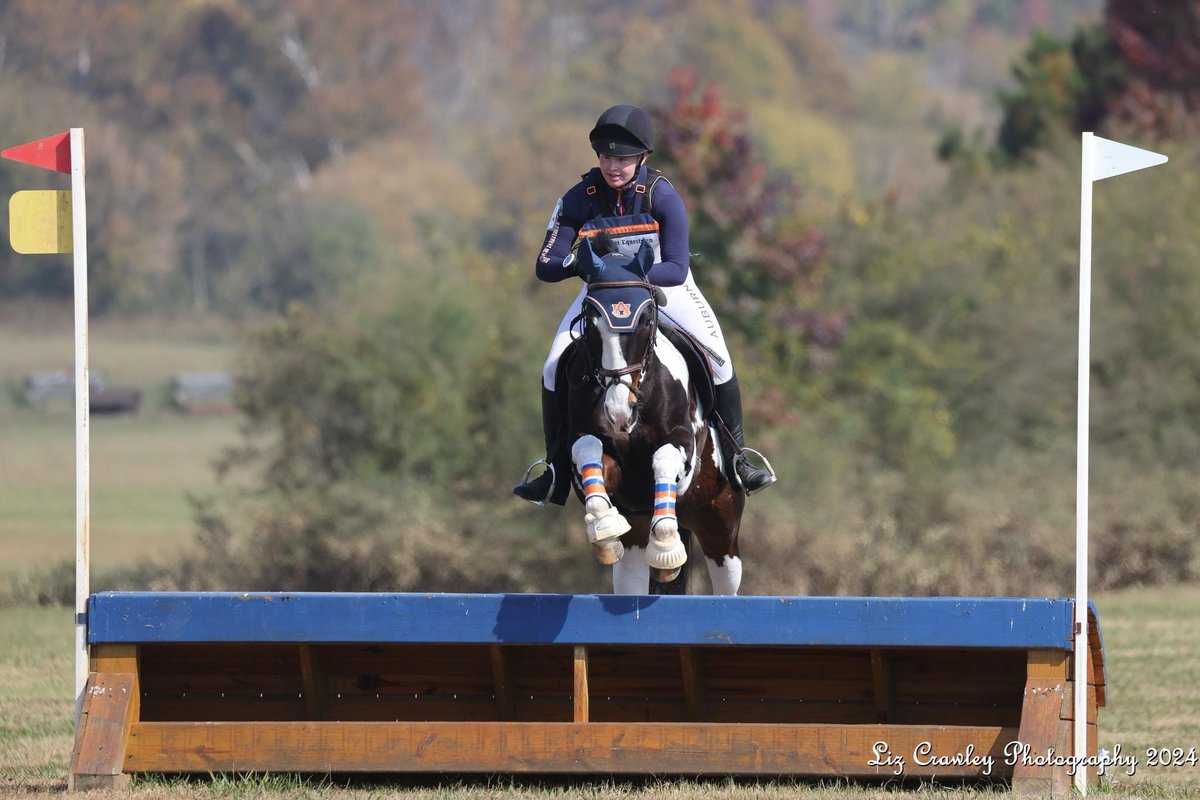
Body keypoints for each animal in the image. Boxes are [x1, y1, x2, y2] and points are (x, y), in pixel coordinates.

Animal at [562, 239, 745, 595]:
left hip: (721, 526)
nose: (619, 411)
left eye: (646, 320)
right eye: (591, 321)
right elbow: (589, 450)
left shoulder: (684, 447)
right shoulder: (607, 464)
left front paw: (665, 546)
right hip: (636, 530)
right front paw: (603, 526)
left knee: (727, 582)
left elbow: (663, 459)